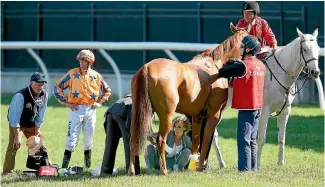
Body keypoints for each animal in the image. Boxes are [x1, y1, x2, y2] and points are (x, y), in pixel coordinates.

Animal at [128, 23, 247, 175]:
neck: (215, 66)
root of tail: (147, 67)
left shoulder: (197, 116)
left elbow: (196, 141)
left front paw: (194, 164)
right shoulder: (214, 115)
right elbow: (206, 139)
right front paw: (201, 166)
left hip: (138, 113)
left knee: (133, 137)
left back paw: (132, 170)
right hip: (166, 115)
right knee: (160, 139)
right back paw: (164, 170)